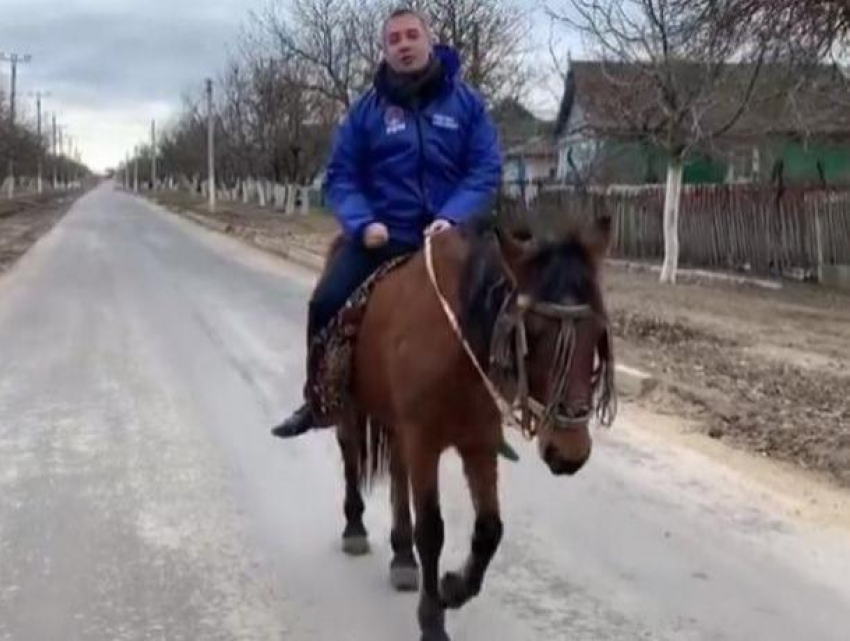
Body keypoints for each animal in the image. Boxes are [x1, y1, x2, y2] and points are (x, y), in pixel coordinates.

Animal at [328, 215, 612, 640]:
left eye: (596, 334)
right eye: (534, 333)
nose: (570, 452)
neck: (458, 344)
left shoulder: (479, 442)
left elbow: (490, 529)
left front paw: (452, 588)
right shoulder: (424, 442)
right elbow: (432, 530)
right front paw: (432, 619)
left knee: (396, 471)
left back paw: (402, 556)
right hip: (352, 407)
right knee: (350, 454)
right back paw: (355, 528)